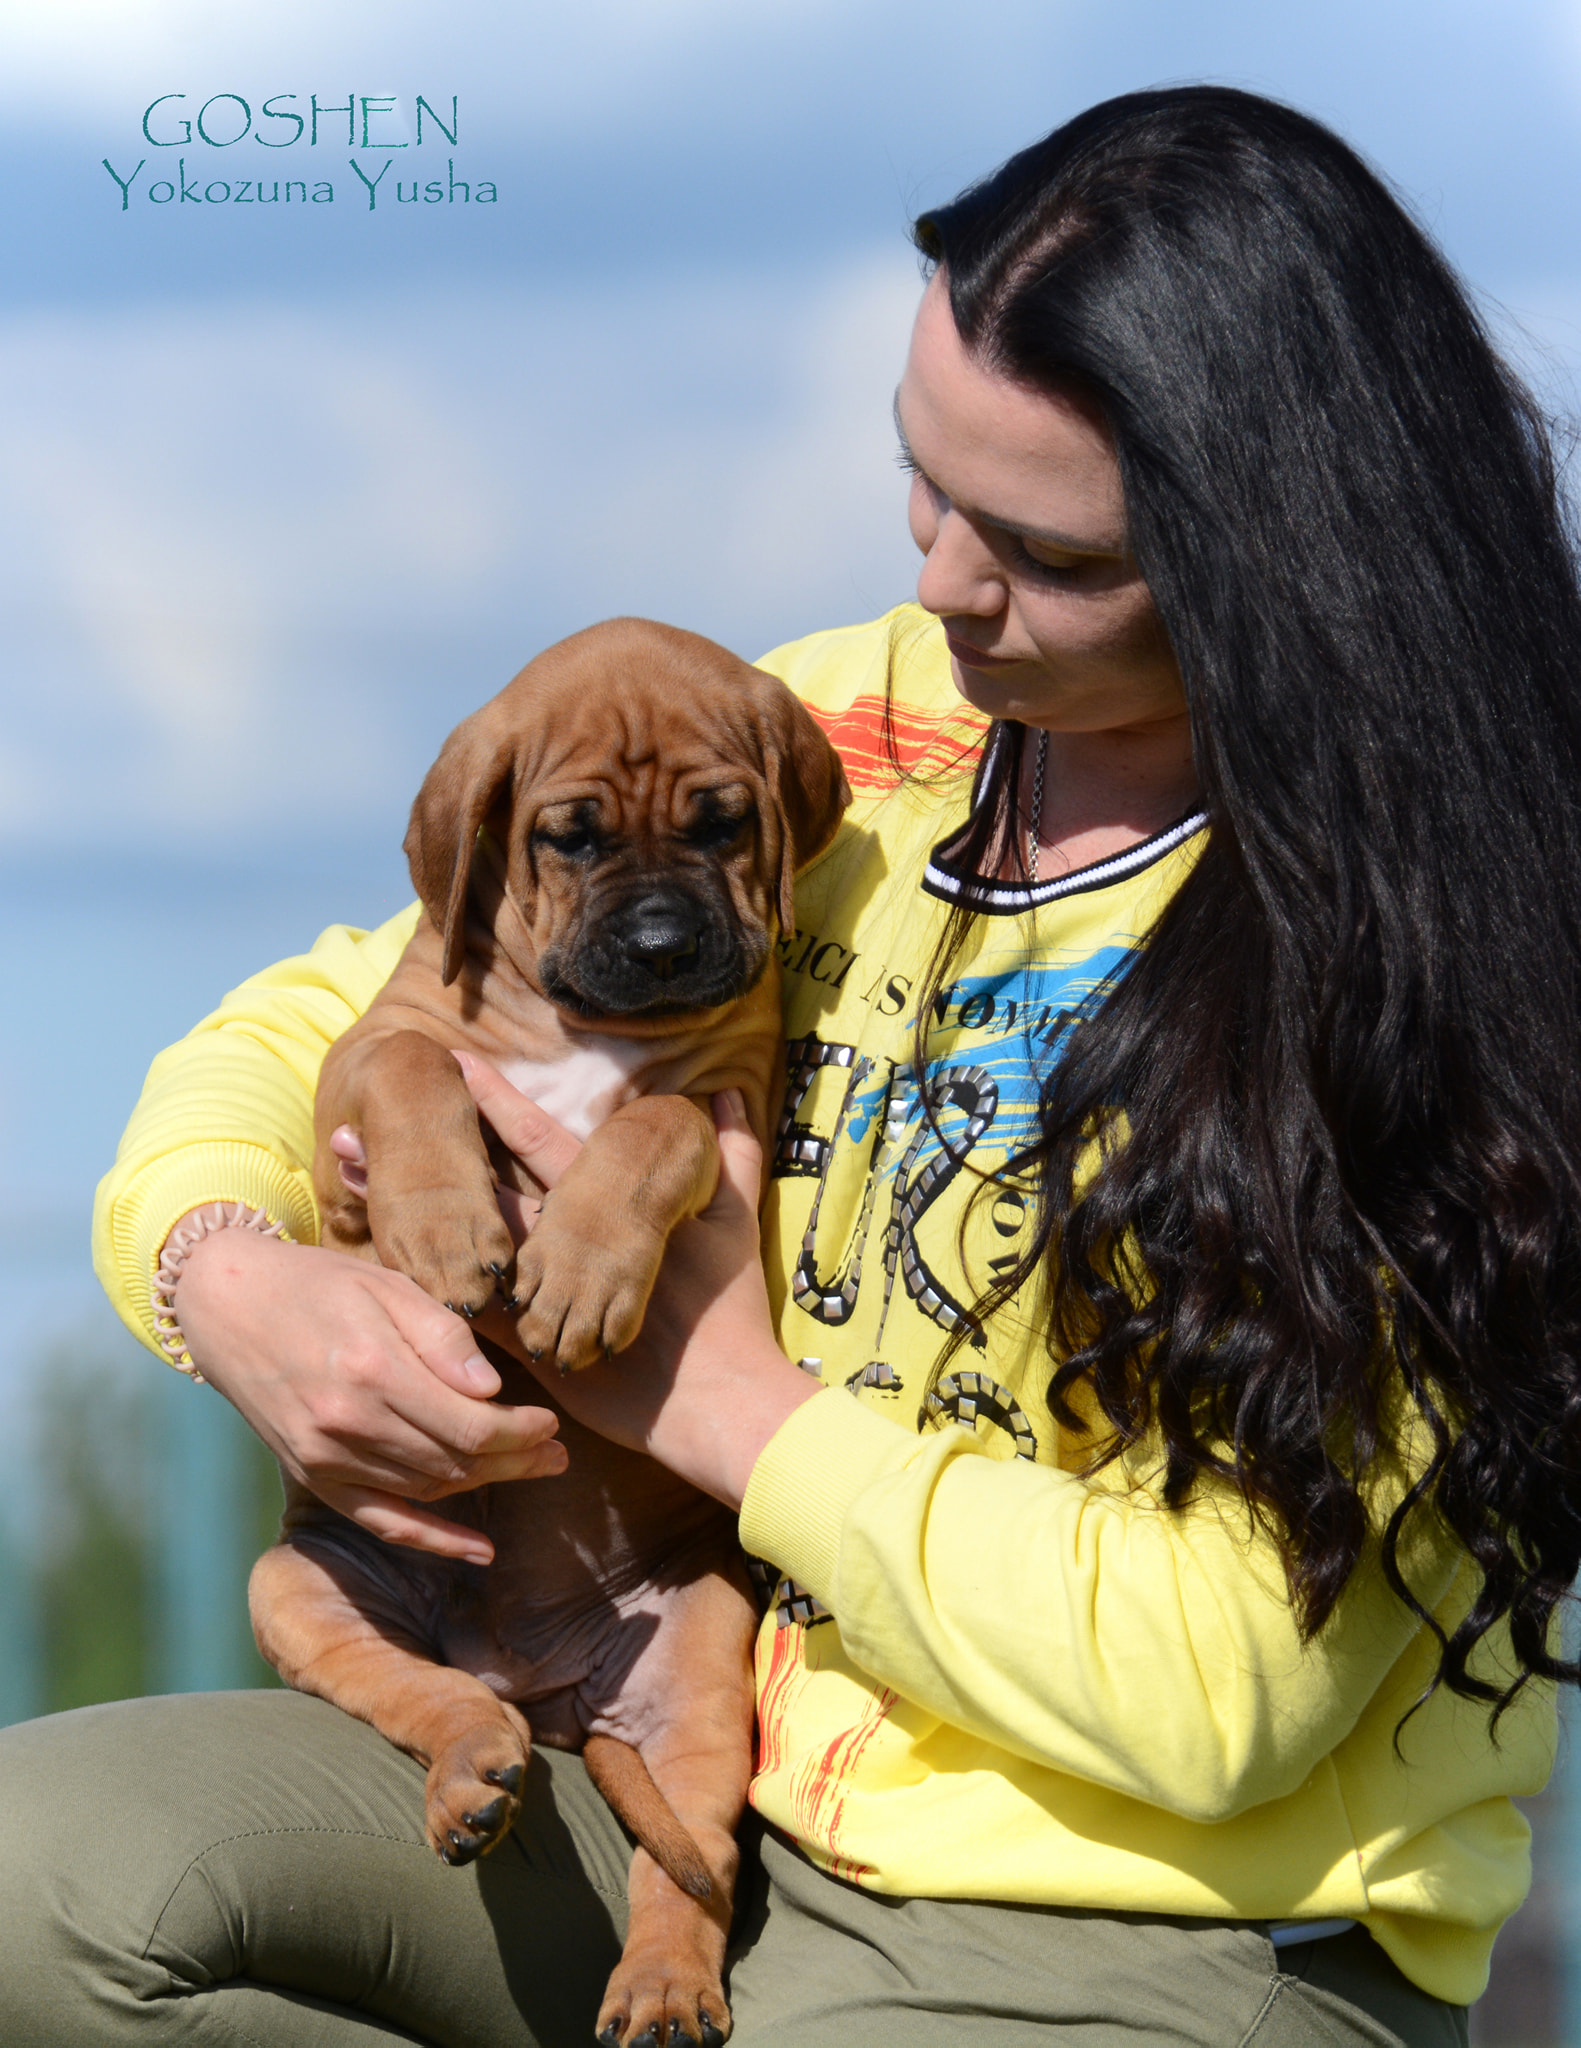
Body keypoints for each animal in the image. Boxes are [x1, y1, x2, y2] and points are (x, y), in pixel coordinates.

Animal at [249, 618, 851, 2048]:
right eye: (567, 838)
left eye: (723, 821)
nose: (662, 941)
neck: (587, 1026)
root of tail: (531, 1681)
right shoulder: (366, 1063)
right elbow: (415, 1073)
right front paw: (446, 1229)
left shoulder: (726, 1100)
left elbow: (652, 1127)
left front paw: (578, 1270)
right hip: (300, 1580)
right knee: (420, 1695)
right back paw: (471, 1771)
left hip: (697, 1658)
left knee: (691, 1857)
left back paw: (666, 1987)